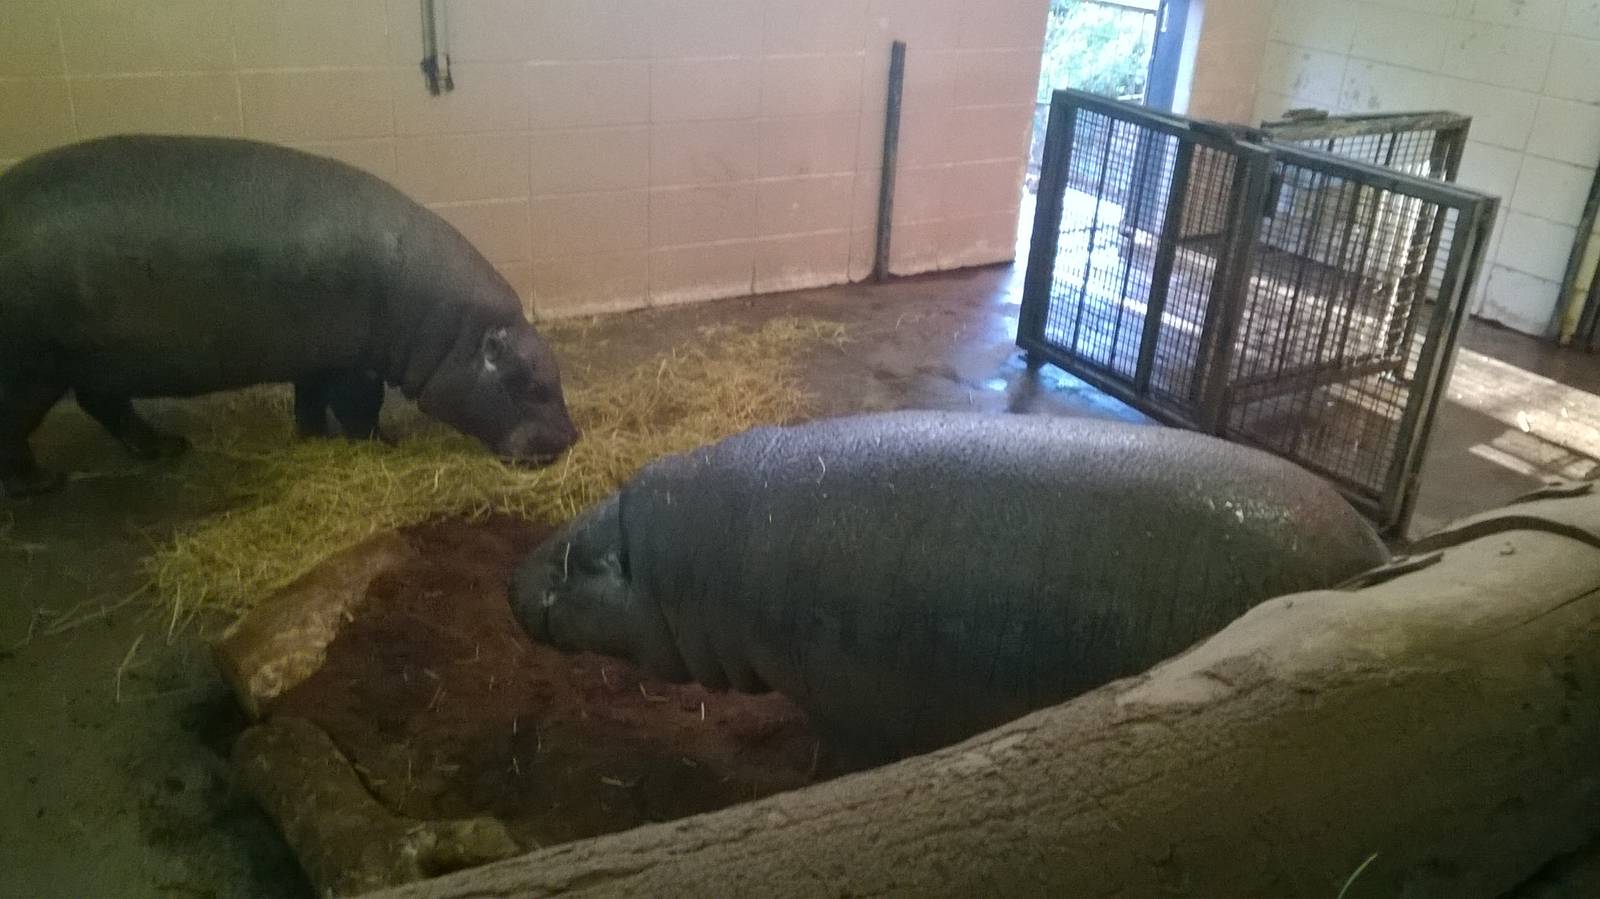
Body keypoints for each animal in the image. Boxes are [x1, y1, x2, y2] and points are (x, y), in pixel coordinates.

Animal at [0, 135, 578, 498]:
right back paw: (40, 483)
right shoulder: (352, 363)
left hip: (92, 358)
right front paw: (387, 445)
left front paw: (312, 440)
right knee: (18, 423)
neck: (449, 331)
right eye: (534, 388)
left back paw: (165, 448)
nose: (572, 440)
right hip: (32, 367)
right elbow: (358, 408)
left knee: (104, 405)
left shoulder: (319, 356)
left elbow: (309, 402)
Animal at [510, 411, 1389, 763]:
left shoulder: (843, 696)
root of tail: (1373, 544)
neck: (677, 563)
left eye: (576, 559)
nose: (509, 574)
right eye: (570, 528)